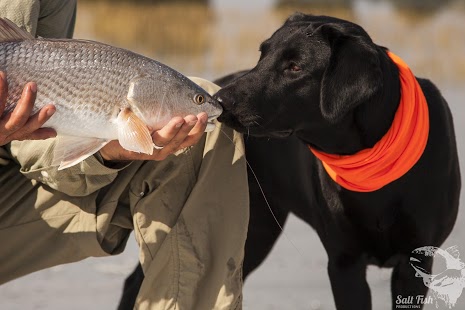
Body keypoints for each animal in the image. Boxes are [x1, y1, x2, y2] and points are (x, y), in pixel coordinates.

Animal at [117, 13, 460, 308]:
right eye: (262, 55)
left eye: (294, 67)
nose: (220, 102)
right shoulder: (344, 262)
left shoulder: (413, 261)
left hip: (256, 230)